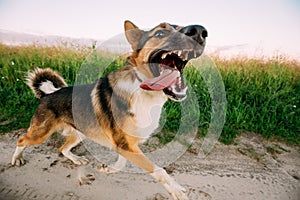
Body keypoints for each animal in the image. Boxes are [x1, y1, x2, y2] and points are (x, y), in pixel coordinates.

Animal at [12, 20, 209, 200]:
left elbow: (121, 163)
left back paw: (77, 159)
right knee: (22, 139)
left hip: (82, 132)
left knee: (62, 148)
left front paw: (109, 169)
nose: (199, 31)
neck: (142, 88)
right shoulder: (125, 144)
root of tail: (47, 94)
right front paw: (176, 190)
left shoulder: (125, 144)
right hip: (41, 133)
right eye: (160, 33)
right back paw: (16, 159)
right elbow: (158, 170)